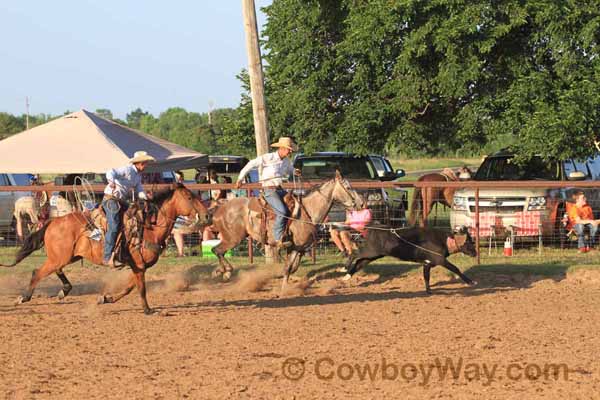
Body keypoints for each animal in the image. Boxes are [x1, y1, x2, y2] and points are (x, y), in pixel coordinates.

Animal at [0, 185, 211, 316]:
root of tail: (53, 221)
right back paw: (24, 297)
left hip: (67, 256)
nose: (208, 215)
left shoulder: (138, 267)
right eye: (190, 197)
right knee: (37, 272)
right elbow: (141, 289)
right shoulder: (139, 265)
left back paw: (64, 291)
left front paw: (106, 298)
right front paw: (148, 310)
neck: (149, 228)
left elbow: (129, 288)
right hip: (60, 257)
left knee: (56, 270)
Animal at [209, 170, 364, 292]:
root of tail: (219, 208)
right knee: (217, 250)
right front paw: (284, 290)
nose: (361, 203)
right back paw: (226, 272)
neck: (307, 212)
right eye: (348, 187)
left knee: (218, 251)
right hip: (233, 238)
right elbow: (288, 268)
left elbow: (291, 268)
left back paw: (219, 271)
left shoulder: (299, 248)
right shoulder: (294, 247)